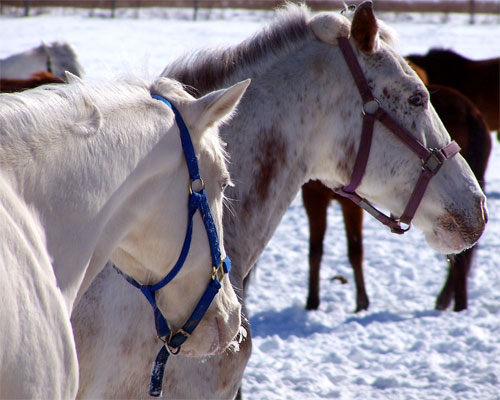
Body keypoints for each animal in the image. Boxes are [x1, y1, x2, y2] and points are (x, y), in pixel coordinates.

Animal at [302, 83, 490, 312]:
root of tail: (472, 113)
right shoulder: (315, 198)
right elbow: (316, 251)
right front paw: (313, 302)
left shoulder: (338, 201)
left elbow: (353, 250)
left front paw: (360, 303)